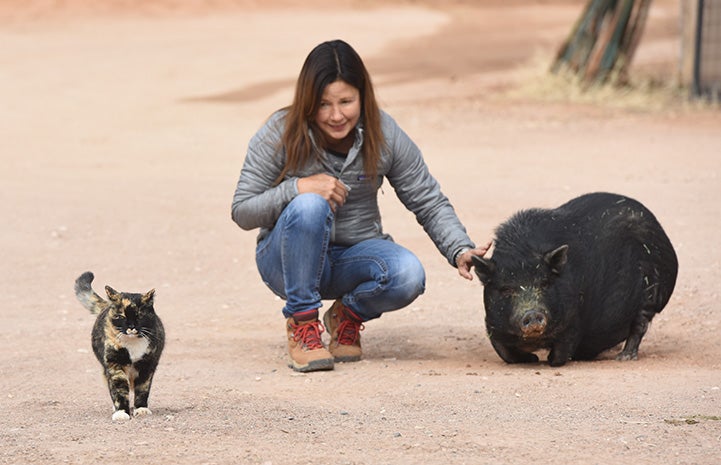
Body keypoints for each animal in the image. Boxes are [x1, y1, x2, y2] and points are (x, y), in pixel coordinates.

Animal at [75, 272, 167, 420]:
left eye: (139, 316)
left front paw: (141, 409)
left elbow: (143, 389)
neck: (132, 343)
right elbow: (119, 389)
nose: (131, 327)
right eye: (121, 316)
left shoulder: (147, 365)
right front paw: (121, 412)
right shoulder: (114, 364)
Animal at [472, 192, 676, 366]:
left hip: (650, 293)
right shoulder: (492, 326)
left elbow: (561, 354)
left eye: (545, 283)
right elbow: (506, 355)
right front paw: (531, 359)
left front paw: (548, 359)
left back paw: (624, 357)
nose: (532, 314)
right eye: (506, 289)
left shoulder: (572, 320)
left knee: (639, 326)